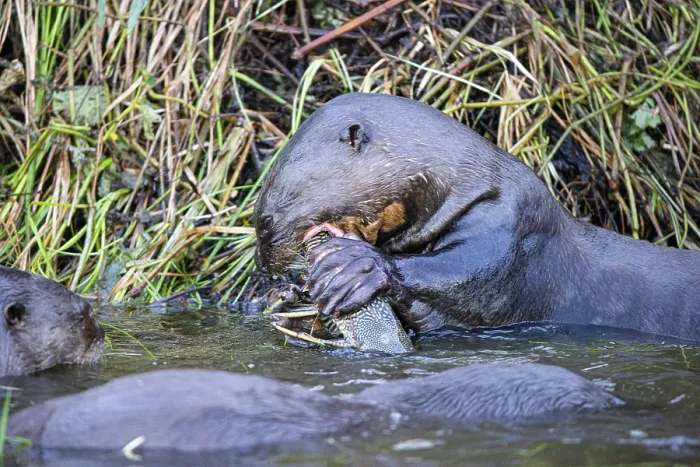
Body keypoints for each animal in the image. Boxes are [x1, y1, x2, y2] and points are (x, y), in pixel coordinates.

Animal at [254, 92, 700, 342]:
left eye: (265, 223)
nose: (261, 266)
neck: (465, 183)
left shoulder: (514, 229)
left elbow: (472, 277)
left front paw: (357, 268)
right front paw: (289, 294)